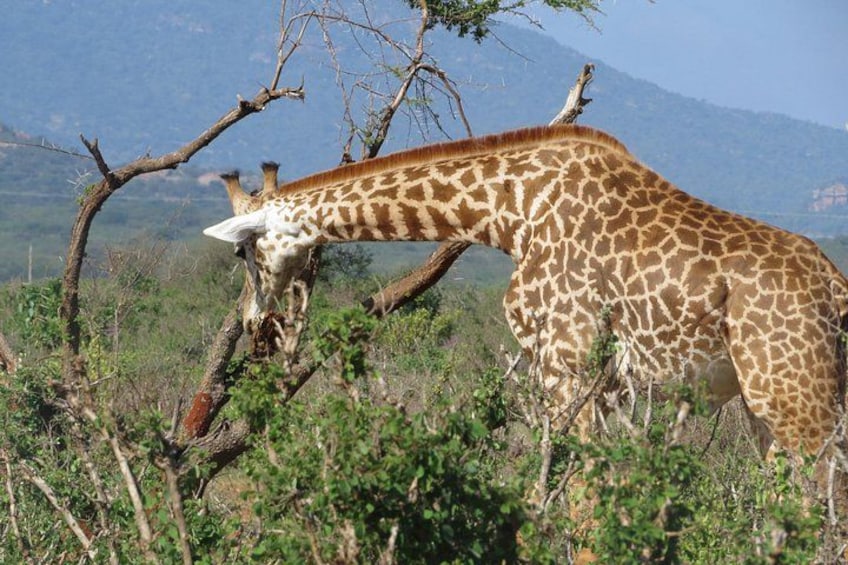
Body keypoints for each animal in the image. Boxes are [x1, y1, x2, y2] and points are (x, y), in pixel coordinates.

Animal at [204, 124, 848, 476]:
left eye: (240, 251)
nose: (254, 321)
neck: (511, 210)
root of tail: (837, 290)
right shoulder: (607, 387)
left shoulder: (567, 363)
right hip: (771, 404)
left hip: (794, 396)